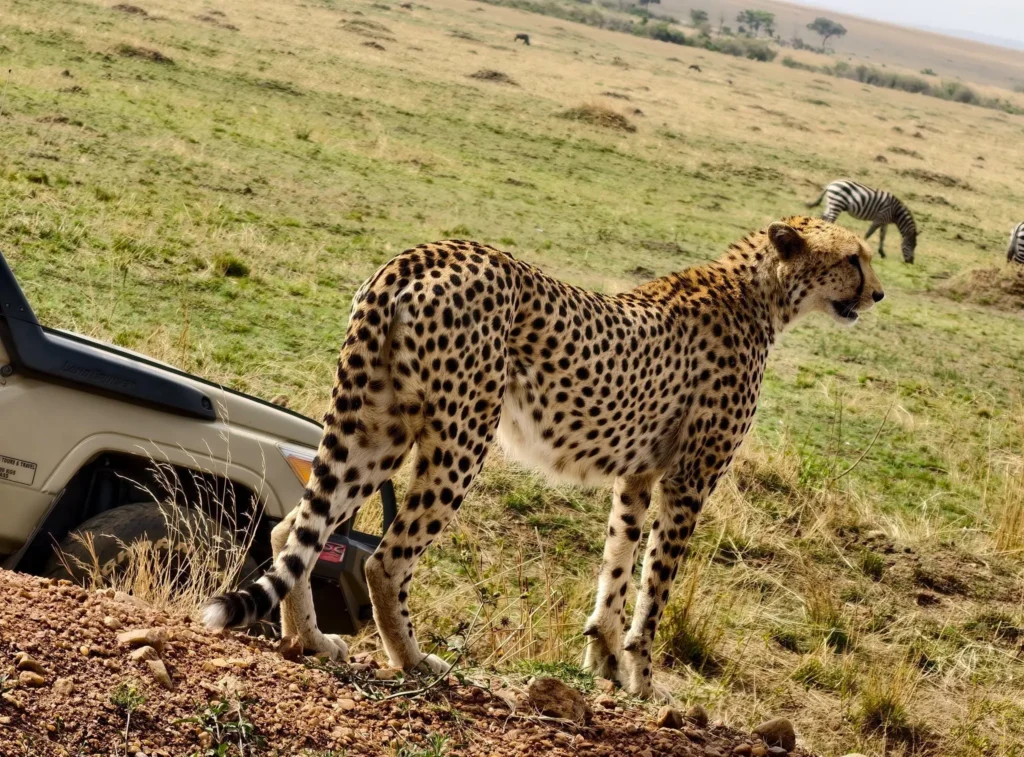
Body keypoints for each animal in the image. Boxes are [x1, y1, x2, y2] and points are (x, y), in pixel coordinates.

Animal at [203, 216, 884, 699]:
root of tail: (424, 253)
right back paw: (415, 661)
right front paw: (642, 680)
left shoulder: (637, 475)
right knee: (386, 561)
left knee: (295, 528)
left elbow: (617, 568)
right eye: (853, 257)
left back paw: (311, 642)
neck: (762, 291)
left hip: (377, 428)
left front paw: (603, 661)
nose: (877, 294)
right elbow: (654, 590)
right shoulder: (689, 480)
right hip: (462, 436)